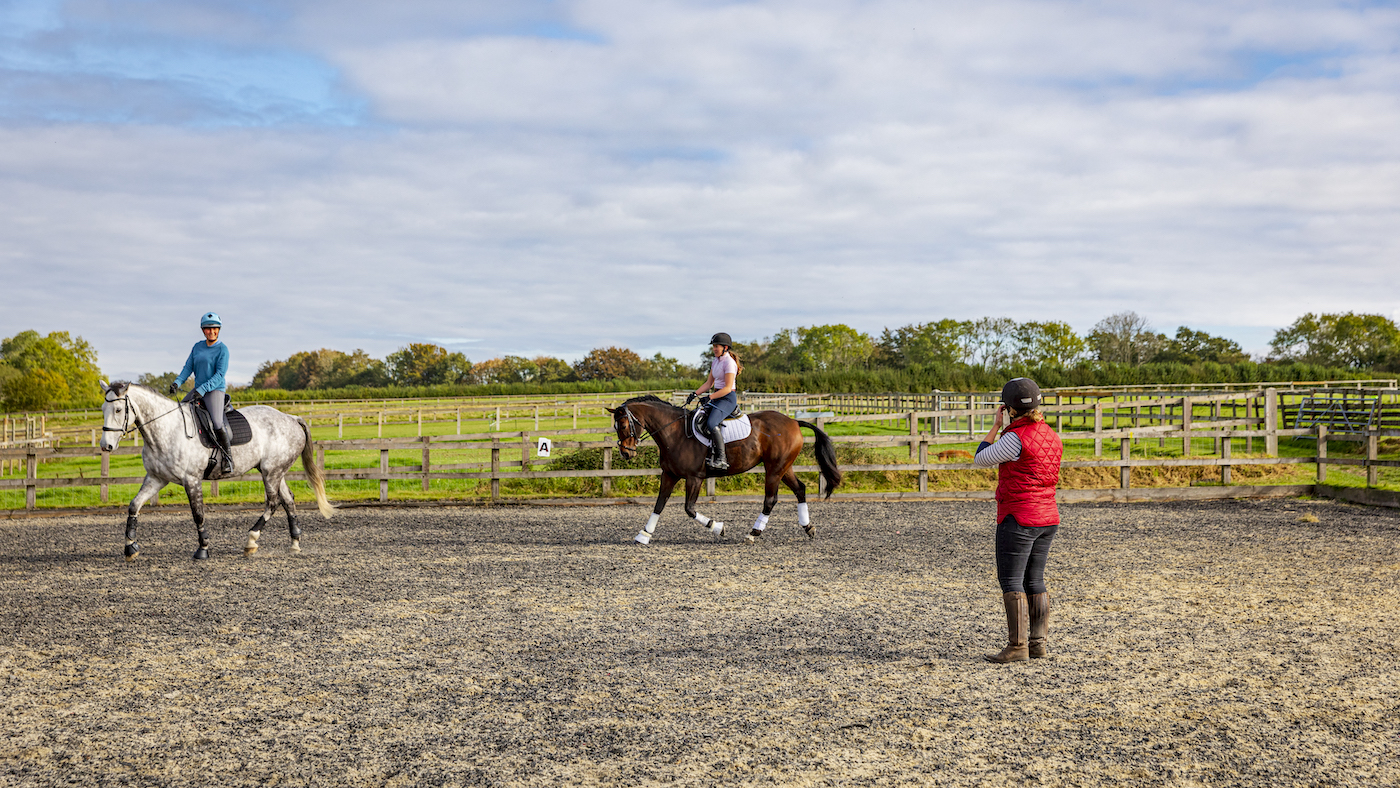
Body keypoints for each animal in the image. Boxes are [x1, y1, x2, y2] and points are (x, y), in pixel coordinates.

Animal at [98, 381, 334, 561]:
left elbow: (198, 515)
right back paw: (294, 542)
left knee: (273, 502)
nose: (106, 445)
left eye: (118, 410)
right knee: (288, 500)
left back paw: (251, 540)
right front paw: (130, 546)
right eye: (102, 410)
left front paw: (203, 549)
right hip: (275, 471)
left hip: (271, 471)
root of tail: (291, 418)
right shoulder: (156, 478)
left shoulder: (191, 480)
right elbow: (134, 506)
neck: (166, 430)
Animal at [606, 395, 842, 544]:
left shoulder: (694, 478)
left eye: (624, 425)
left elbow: (689, 509)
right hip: (784, 467)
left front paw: (718, 527)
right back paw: (808, 527)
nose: (626, 454)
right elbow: (659, 504)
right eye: (616, 427)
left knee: (770, 499)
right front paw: (644, 535)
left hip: (774, 470)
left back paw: (753, 534)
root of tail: (793, 421)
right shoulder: (670, 475)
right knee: (800, 489)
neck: (674, 432)